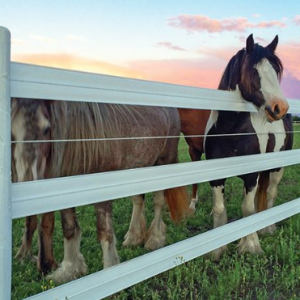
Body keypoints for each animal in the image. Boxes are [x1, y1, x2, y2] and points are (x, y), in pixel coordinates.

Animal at [12, 97, 190, 282]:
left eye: (47, 128)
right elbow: (69, 228)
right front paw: (69, 270)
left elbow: (104, 231)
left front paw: (110, 271)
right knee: (138, 201)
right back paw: (133, 237)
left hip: (163, 162)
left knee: (158, 202)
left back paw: (154, 239)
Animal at [204, 33, 292, 260]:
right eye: (254, 71)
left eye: (276, 71)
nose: (280, 107)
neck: (232, 131)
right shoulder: (216, 176)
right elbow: (219, 208)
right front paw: (217, 250)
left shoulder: (252, 176)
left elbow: (248, 210)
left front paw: (250, 246)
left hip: (277, 168)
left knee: (270, 194)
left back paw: (267, 228)